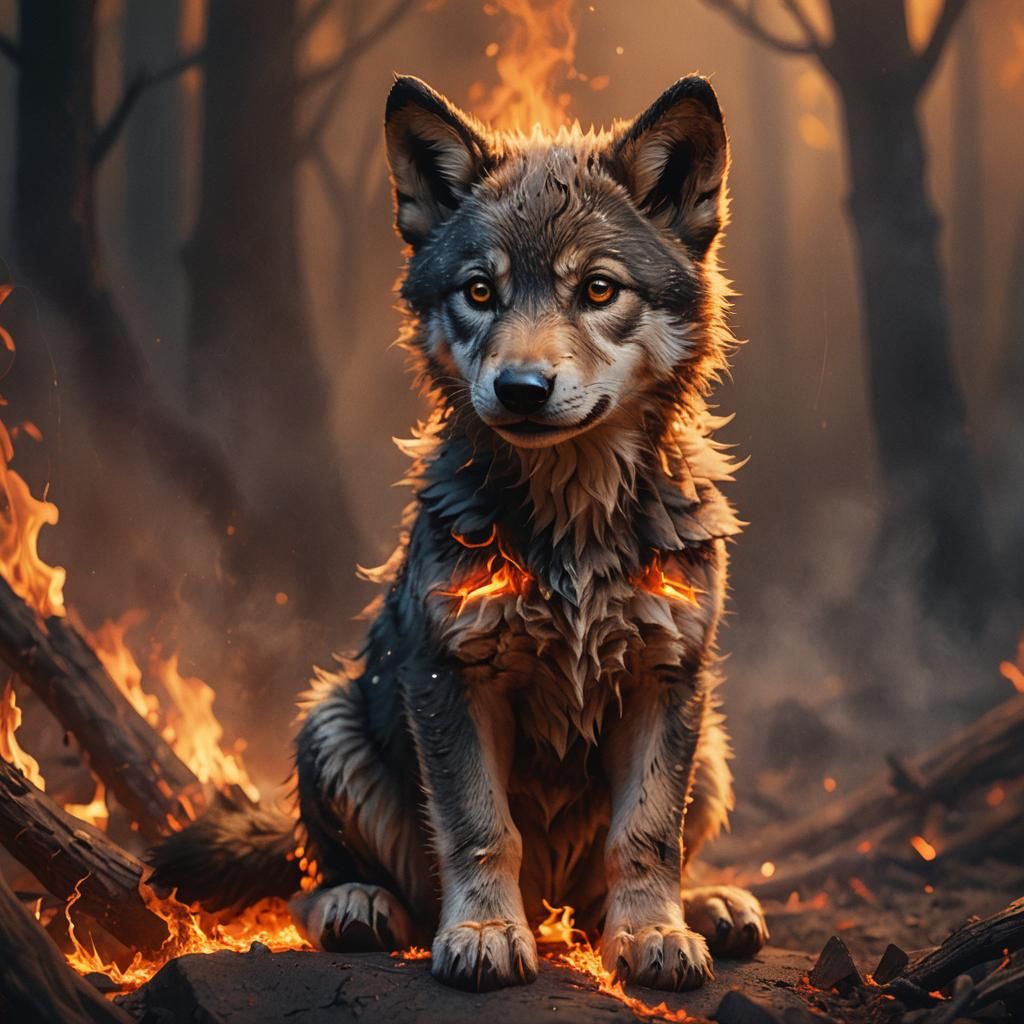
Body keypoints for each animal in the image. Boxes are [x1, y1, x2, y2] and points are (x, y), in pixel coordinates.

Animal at [152, 74, 767, 993]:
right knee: (318, 885)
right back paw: (361, 905)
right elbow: (480, 827)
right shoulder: (449, 677)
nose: (521, 387)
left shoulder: (668, 676)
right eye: (480, 292)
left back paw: (709, 907)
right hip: (328, 718)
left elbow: (647, 836)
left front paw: (655, 934)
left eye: (598, 290)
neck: (573, 526)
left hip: (717, 746)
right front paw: (481, 933)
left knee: (603, 891)